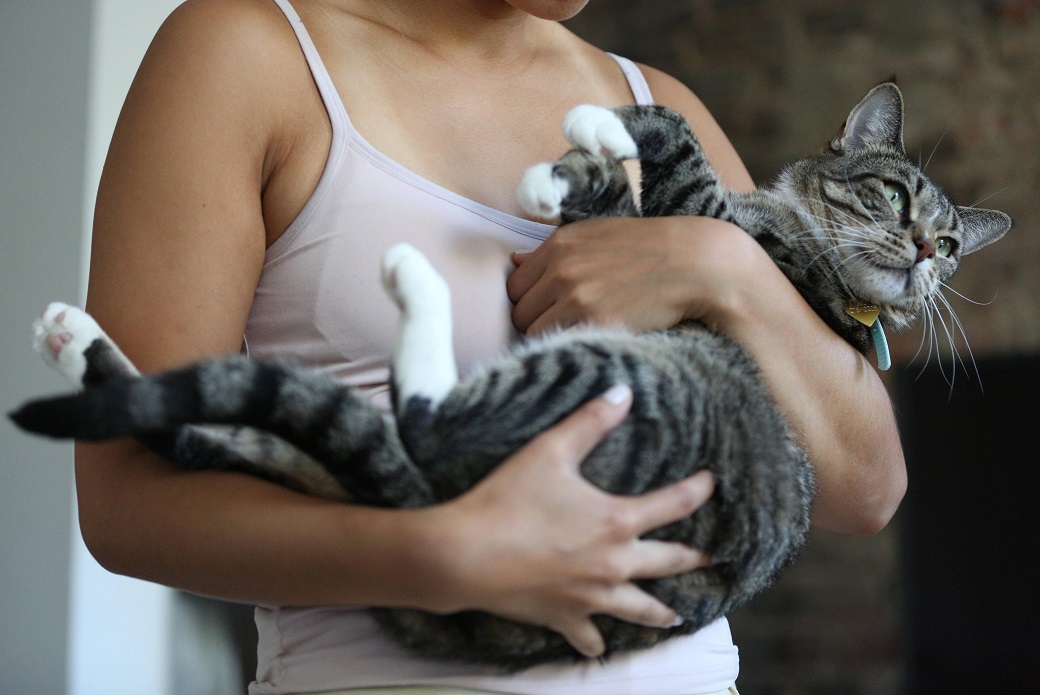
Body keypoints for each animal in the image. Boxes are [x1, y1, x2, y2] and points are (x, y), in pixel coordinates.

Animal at [12, 81, 1010, 665]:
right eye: (893, 194)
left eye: (954, 243)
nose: (930, 252)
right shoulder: (685, 220)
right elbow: (613, 192)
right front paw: (568, 169)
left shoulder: (721, 232)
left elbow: (674, 140)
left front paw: (596, 128)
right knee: (214, 439)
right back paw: (73, 340)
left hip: (601, 378)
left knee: (415, 418)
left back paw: (411, 283)